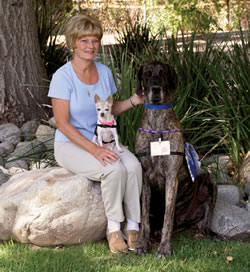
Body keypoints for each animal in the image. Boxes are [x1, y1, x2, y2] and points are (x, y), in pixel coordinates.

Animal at [135, 60, 217, 258]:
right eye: (147, 74)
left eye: (163, 73)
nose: (156, 89)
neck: (157, 122)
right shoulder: (144, 176)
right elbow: (144, 216)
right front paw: (141, 243)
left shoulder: (172, 177)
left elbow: (168, 216)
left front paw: (164, 248)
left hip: (209, 179)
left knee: (205, 215)